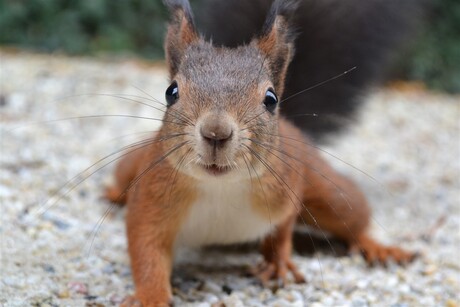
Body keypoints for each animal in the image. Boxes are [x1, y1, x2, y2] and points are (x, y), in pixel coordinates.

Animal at [104, 0, 420, 306]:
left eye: (270, 99)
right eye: (171, 92)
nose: (216, 132)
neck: (220, 187)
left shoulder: (286, 191)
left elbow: (282, 231)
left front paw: (277, 263)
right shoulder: (150, 201)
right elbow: (146, 250)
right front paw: (150, 297)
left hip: (328, 192)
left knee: (353, 215)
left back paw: (378, 247)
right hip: (134, 163)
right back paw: (113, 193)